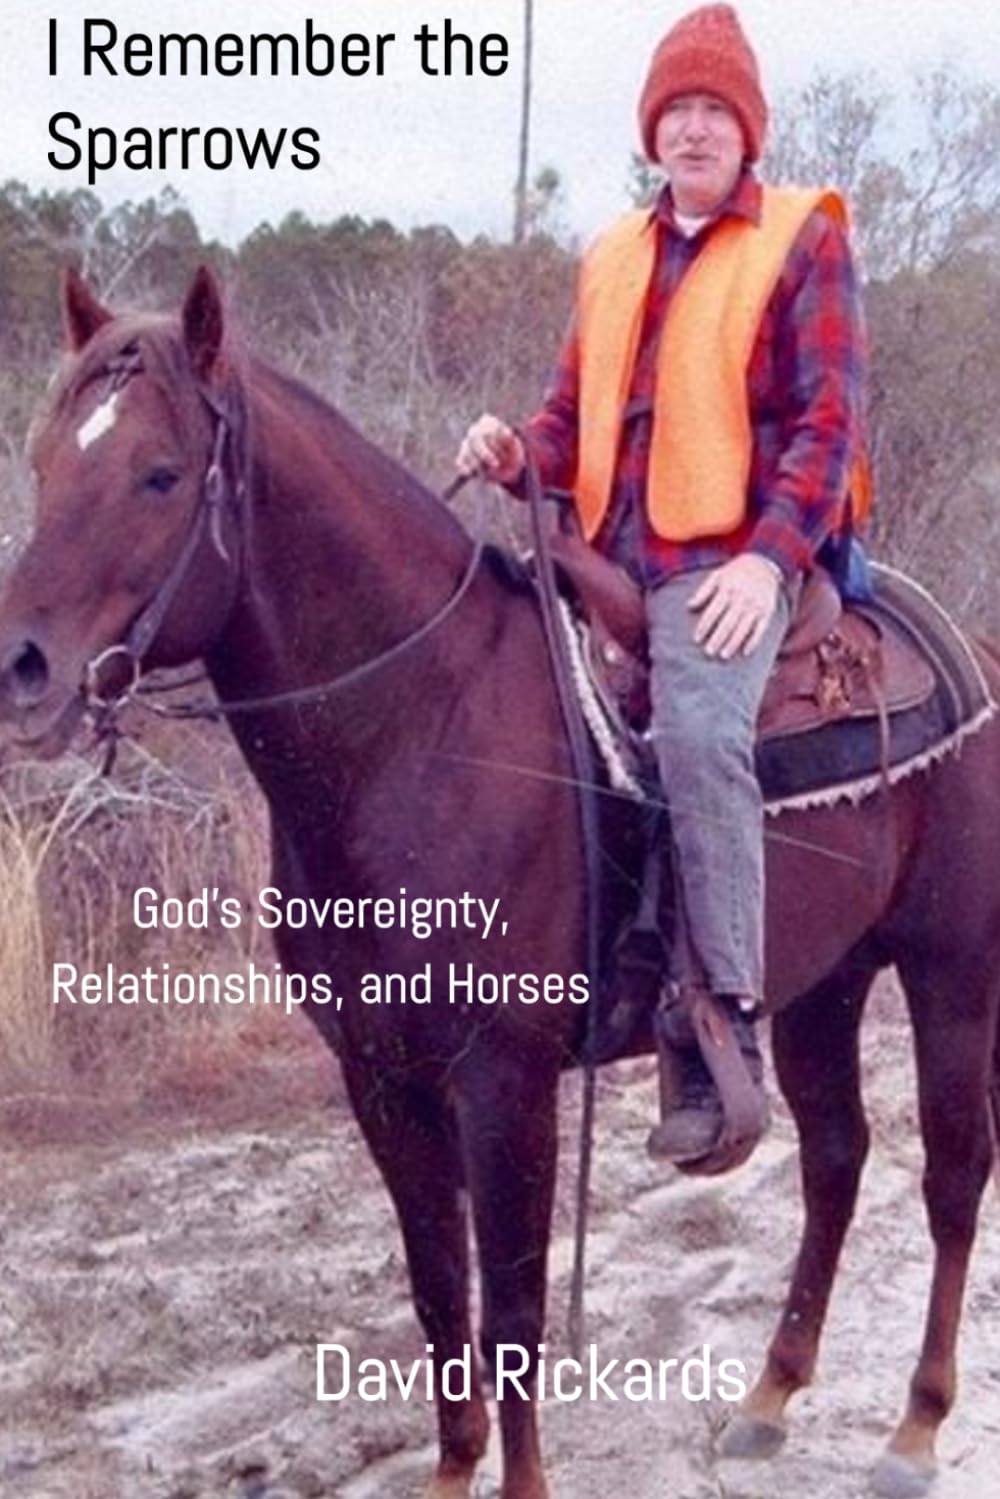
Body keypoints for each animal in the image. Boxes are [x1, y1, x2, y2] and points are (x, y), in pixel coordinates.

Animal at [0, 265, 998, 1499]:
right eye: (47, 460)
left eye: (159, 472)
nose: (22, 668)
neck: (418, 726)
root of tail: (964, 649)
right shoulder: (382, 1078)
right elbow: (439, 1294)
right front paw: (449, 1470)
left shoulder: (504, 1080)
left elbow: (513, 1309)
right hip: (826, 980)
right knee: (836, 1157)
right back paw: (770, 1394)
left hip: (950, 967)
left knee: (952, 1173)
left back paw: (915, 1424)